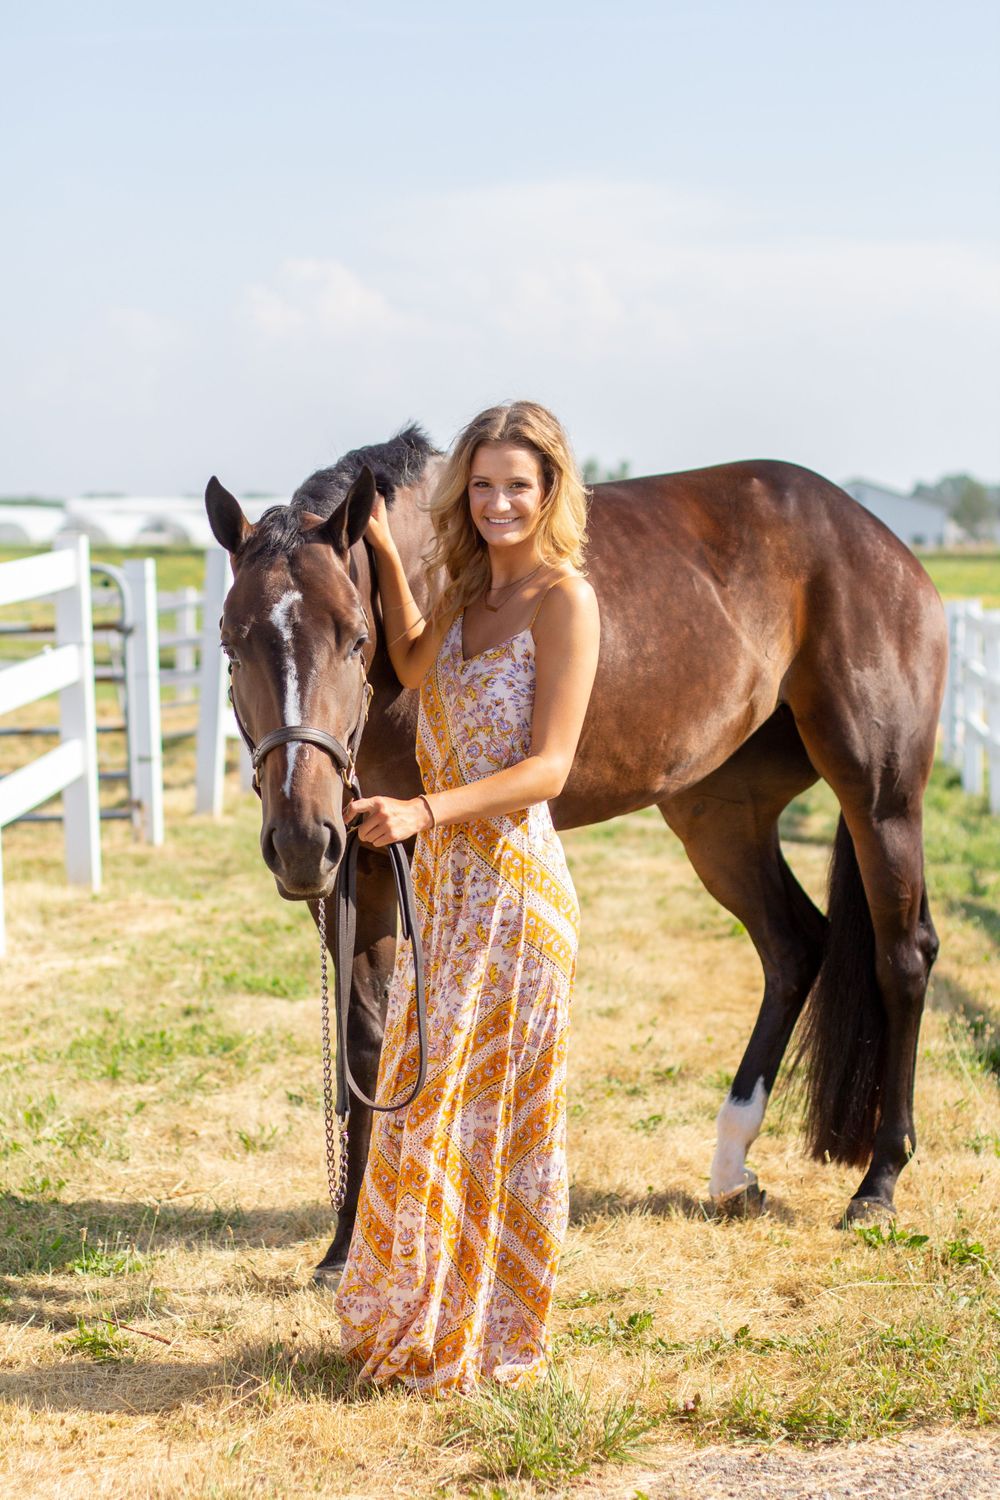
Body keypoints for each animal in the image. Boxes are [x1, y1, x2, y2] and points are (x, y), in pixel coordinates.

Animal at [205, 426, 947, 1278]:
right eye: (232, 643)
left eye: (356, 638)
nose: (299, 837)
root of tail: (880, 543)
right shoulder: (348, 869)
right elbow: (364, 1044)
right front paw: (342, 1245)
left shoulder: (399, 846)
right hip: (720, 813)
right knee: (795, 945)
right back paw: (732, 1166)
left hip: (880, 796)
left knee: (902, 957)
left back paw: (878, 1182)